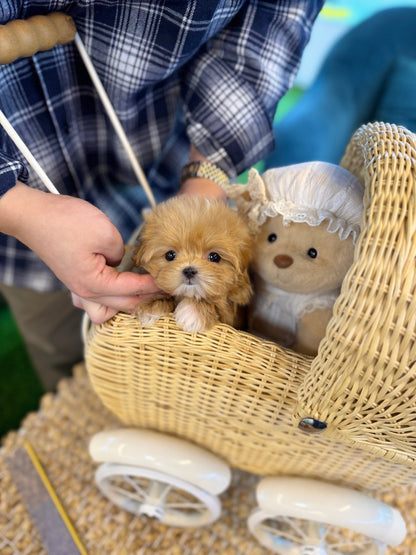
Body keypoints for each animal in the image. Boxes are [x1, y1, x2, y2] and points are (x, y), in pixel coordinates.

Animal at [133, 195, 252, 332]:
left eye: (214, 257)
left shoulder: (231, 315)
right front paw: (150, 307)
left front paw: (194, 311)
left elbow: (216, 305)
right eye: (170, 255)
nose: (189, 271)